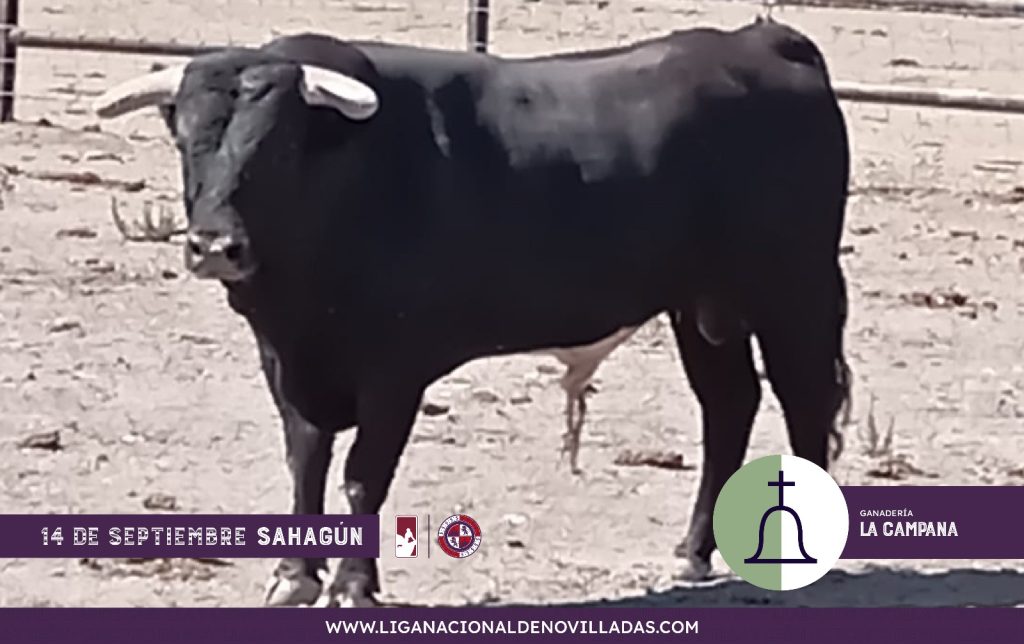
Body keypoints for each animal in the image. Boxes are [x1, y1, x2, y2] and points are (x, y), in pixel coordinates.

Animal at [93, 16, 852, 607]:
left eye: (276, 145)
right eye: (187, 141)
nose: (214, 246)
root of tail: (761, 40)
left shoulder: (393, 371)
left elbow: (363, 473)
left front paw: (353, 584)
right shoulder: (286, 359)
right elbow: (305, 459)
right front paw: (294, 575)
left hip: (794, 289)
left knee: (805, 403)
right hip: (703, 306)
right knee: (729, 405)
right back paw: (692, 551)